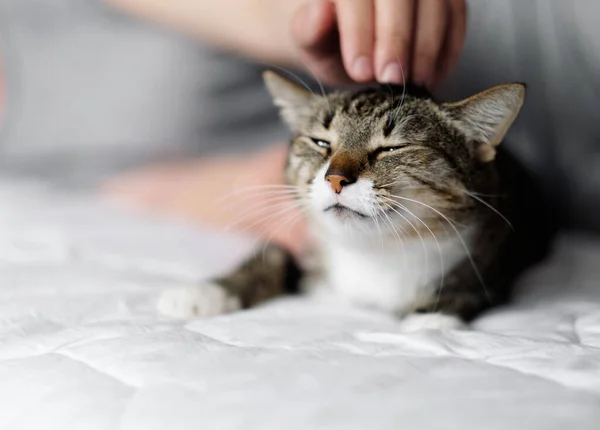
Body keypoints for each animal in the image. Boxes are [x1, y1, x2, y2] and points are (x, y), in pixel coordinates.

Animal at [157, 72, 556, 330]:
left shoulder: (496, 247)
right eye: (321, 143)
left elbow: (469, 287)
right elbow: (273, 256)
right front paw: (206, 291)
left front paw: (430, 321)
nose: (335, 178)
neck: (375, 254)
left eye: (391, 148)